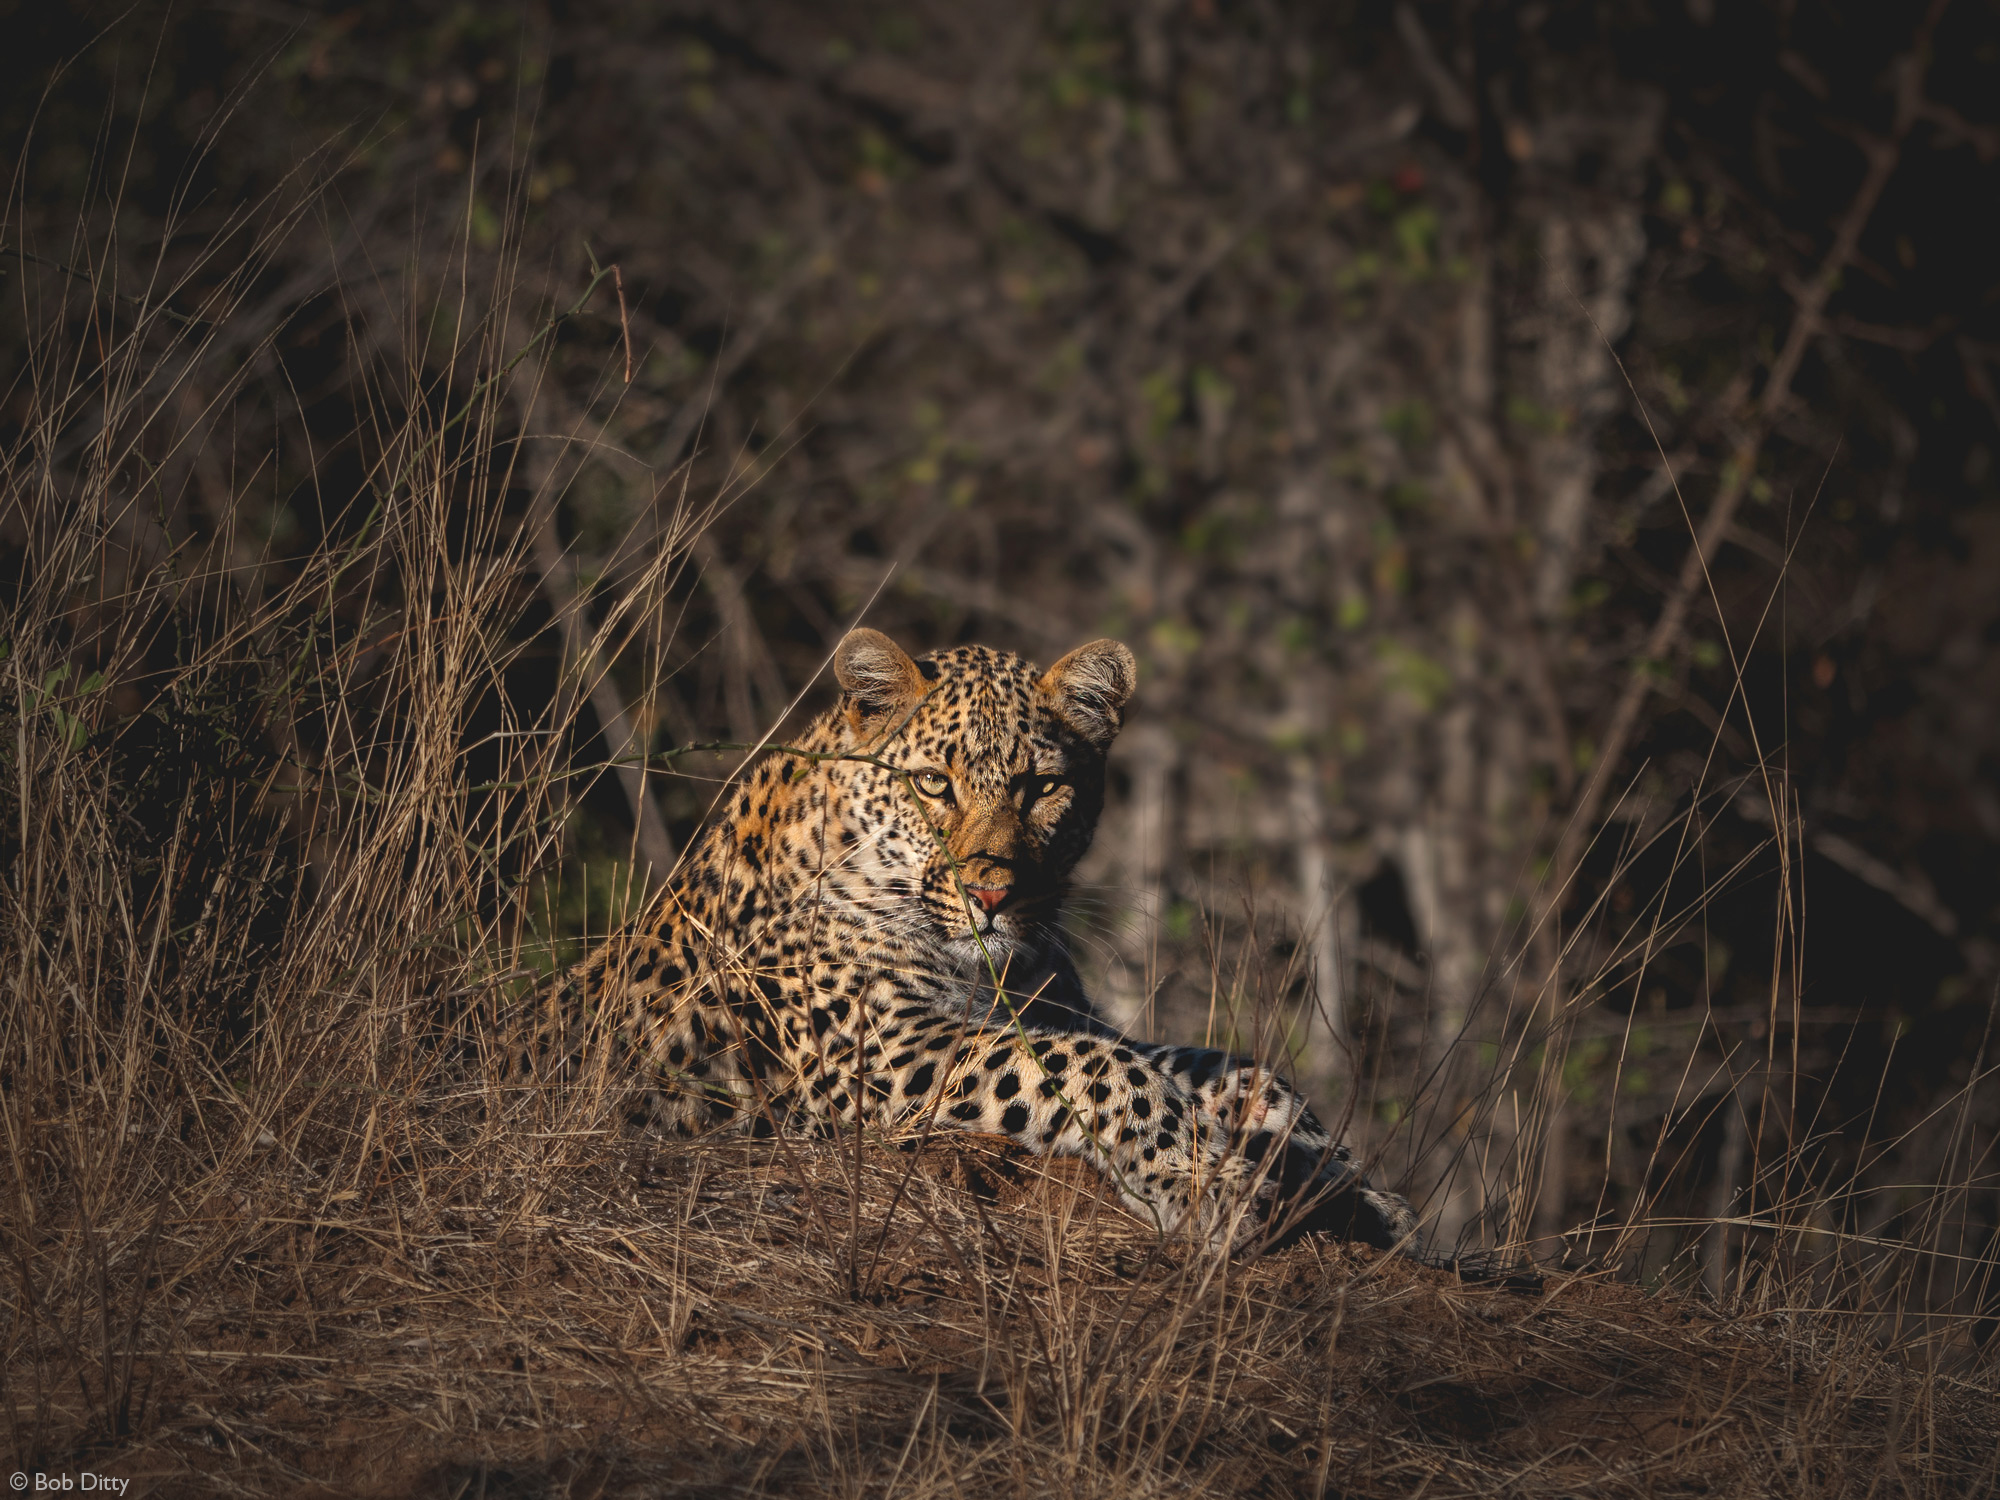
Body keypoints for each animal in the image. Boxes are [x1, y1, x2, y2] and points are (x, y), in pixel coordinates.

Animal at [544, 628, 1424, 1264]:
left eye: (1043, 787)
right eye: (934, 784)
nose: (993, 896)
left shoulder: (1062, 1009)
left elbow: (1232, 1068)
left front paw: (1356, 1187)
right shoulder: (882, 1049)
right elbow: (1097, 1069)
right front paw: (1203, 1183)